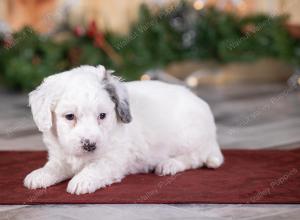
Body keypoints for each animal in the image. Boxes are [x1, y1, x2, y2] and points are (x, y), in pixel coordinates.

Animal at [24, 65, 223, 194]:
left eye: (102, 115)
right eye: (69, 116)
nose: (90, 145)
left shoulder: (114, 159)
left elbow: (97, 166)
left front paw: (82, 180)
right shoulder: (60, 156)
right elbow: (54, 166)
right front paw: (40, 175)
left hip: (188, 137)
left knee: (195, 157)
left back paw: (169, 164)